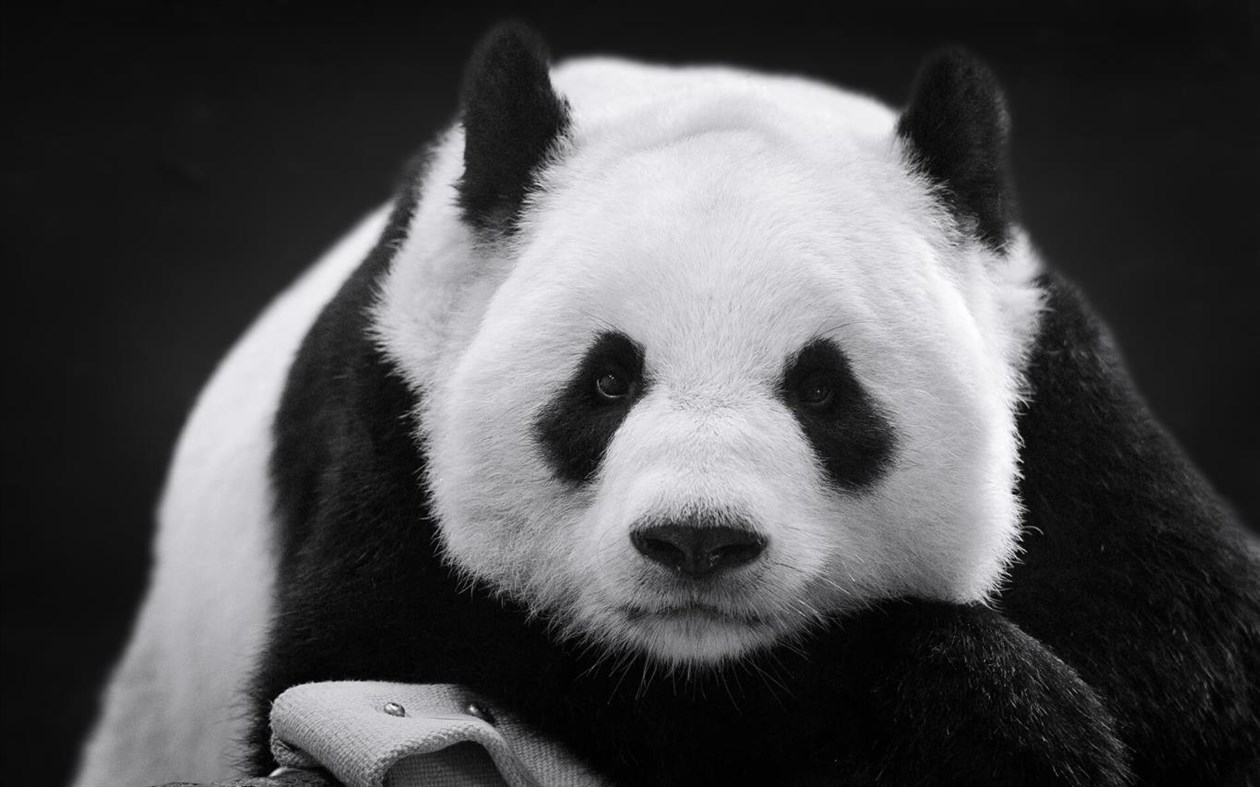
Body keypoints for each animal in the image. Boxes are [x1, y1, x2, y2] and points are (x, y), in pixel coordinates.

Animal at [75, 23, 1259, 787]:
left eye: (823, 388)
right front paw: (990, 716)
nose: (698, 540)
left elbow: (1204, 682)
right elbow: (382, 651)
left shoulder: (1073, 431)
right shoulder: (394, 415)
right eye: (606, 382)